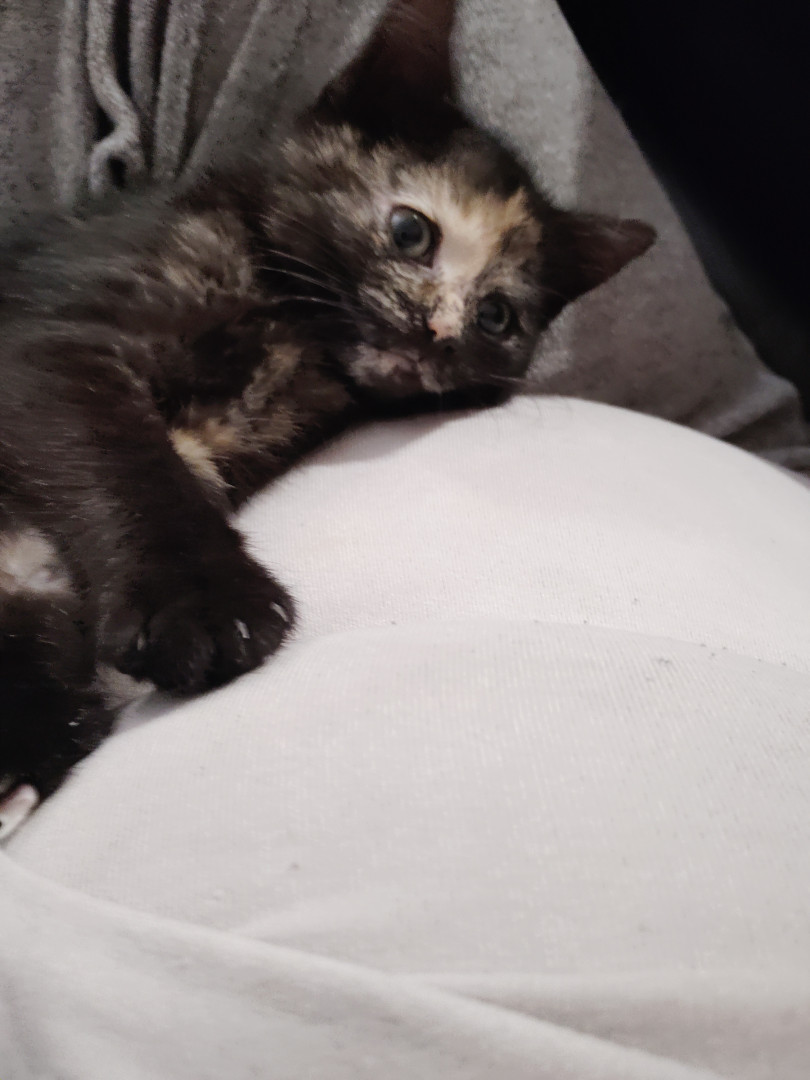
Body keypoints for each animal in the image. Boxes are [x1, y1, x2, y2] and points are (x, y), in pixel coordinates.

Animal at [0, 0, 654, 837]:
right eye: (411, 232)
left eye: (498, 316)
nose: (438, 334)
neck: (295, 332)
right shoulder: (47, 344)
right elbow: (126, 461)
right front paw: (208, 605)